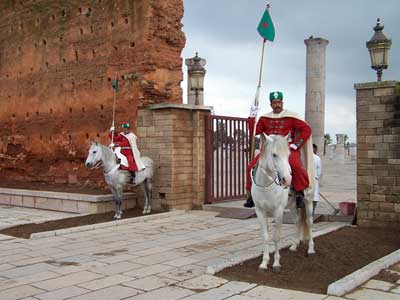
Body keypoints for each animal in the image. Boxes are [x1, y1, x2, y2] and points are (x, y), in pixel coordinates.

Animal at [252, 134, 314, 272]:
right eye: (274, 155)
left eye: (289, 155)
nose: (287, 179)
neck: (266, 185)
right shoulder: (260, 212)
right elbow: (265, 236)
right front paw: (264, 263)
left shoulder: (278, 212)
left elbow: (276, 237)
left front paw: (276, 263)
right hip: (292, 206)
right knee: (298, 221)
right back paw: (294, 245)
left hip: (308, 203)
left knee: (309, 222)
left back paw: (311, 249)